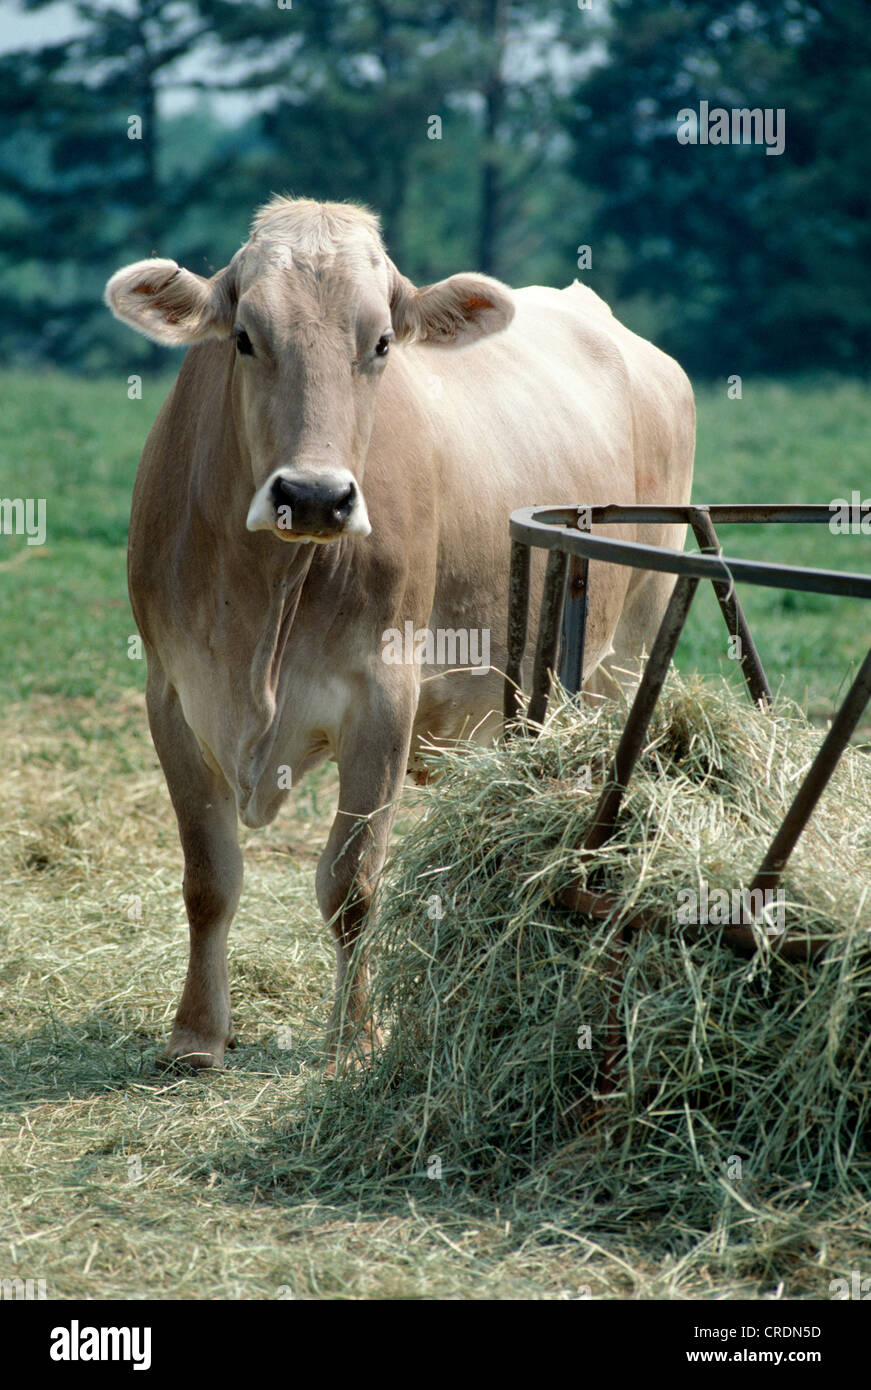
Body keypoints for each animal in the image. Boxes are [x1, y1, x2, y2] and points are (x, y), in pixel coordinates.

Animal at [104, 196, 694, 1070]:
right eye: (244, 336)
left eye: (381, 342)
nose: (314, 495)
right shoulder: (173, 693)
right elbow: (209, 877)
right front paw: (196, 1034)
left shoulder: (381, 694)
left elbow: (351, 882)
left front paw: (354, 1039)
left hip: (627, 643)